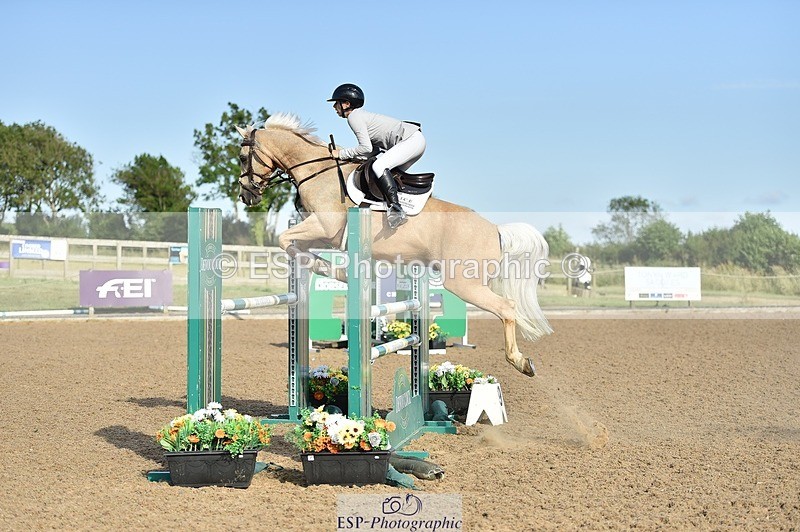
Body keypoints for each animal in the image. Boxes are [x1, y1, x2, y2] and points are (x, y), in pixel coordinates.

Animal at [236, 113, 552, 377]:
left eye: (241, 157)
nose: (246, 196)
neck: (319, 172)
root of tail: (496, 230)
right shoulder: (322, 233)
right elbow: (294, 242)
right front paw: (329, 269)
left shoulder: (325, 226)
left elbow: (285, 240)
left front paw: (329, 269)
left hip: (463, 283)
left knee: (507, 308)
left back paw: (521, 362)